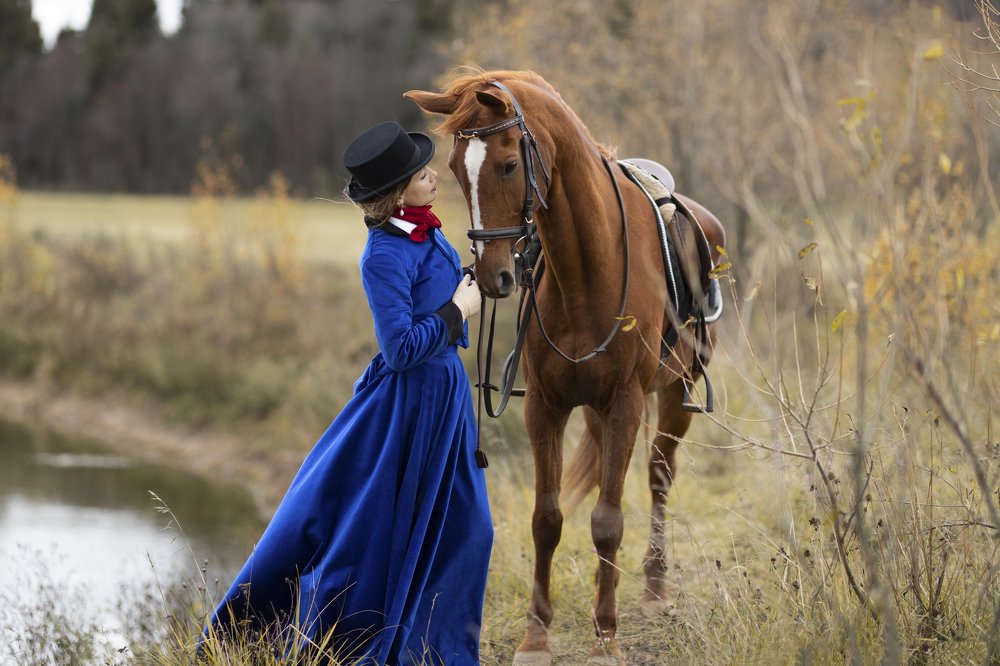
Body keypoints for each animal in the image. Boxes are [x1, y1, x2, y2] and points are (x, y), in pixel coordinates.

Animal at [406, 70, 726, 665]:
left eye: (510, 164)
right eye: (457, 168)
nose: (494, 278)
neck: (586, 268)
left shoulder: (625, 402)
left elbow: (607, 520)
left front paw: (607, 637)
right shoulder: (546, 406)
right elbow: (548, 519)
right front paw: (536, 636)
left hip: (675, 392)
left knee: (658, 475)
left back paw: (651, 590)